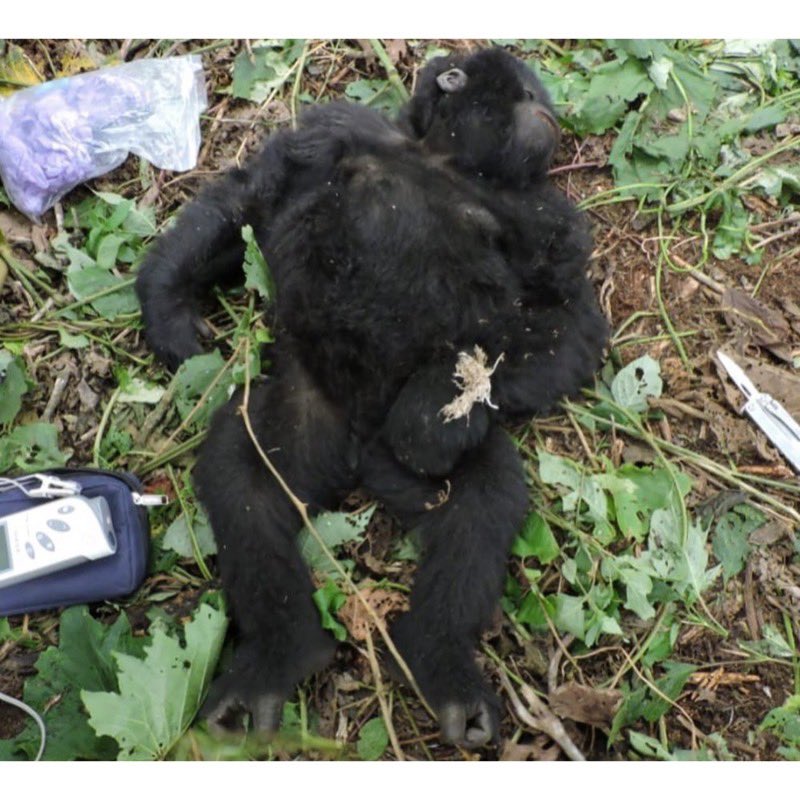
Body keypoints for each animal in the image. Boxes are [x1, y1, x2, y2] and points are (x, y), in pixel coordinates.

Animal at [136, 47, 608, 752]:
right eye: (528, 95)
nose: (549, 118)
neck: (439, 158)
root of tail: (358, 456)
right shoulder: (337, 128)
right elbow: (253, 193)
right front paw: (167, 304)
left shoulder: (540, 217)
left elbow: (568, 316)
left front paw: (427, 423)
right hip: (308, 414)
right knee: (243, 475)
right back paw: (279, 653)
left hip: (398, 463)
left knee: (481, 496)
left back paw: (440, 661)